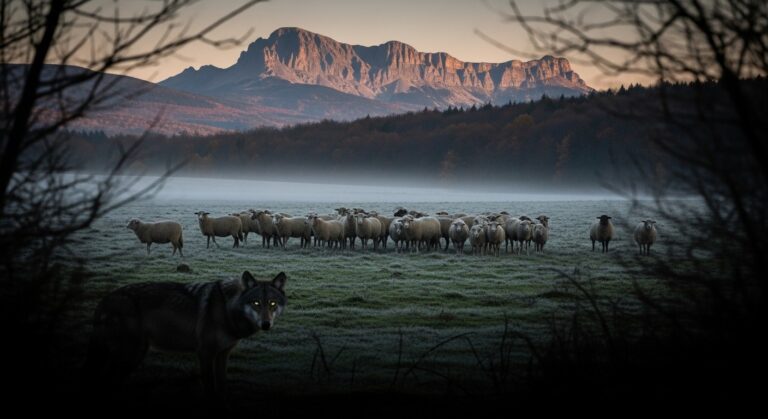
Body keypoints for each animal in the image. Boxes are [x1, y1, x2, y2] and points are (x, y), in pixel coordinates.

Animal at [83, 271, 287, 399]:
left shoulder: (223, 355)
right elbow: (210, 389)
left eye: (273, 304)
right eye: (256, 303)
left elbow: (222, 388)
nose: (266, 324)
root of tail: (104, 301)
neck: (227, 309)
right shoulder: (205, 354)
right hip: (132, 355)